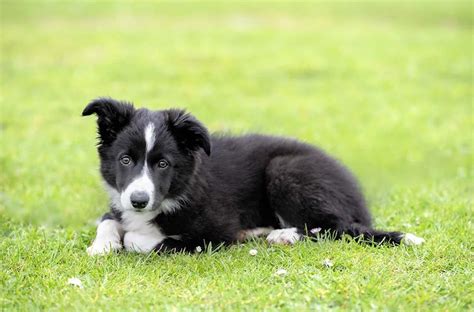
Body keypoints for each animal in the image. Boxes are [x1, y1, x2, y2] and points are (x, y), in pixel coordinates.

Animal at [82, 98, 426, 256]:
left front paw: (130, 238)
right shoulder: (119, 201)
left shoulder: (214, 231)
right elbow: (109, 220)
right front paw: (102, 246)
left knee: (333, 226)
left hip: (285, 170)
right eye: (125, 160)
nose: (139, 201)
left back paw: (284, 235)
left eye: (163, 164)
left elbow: (144, 240)